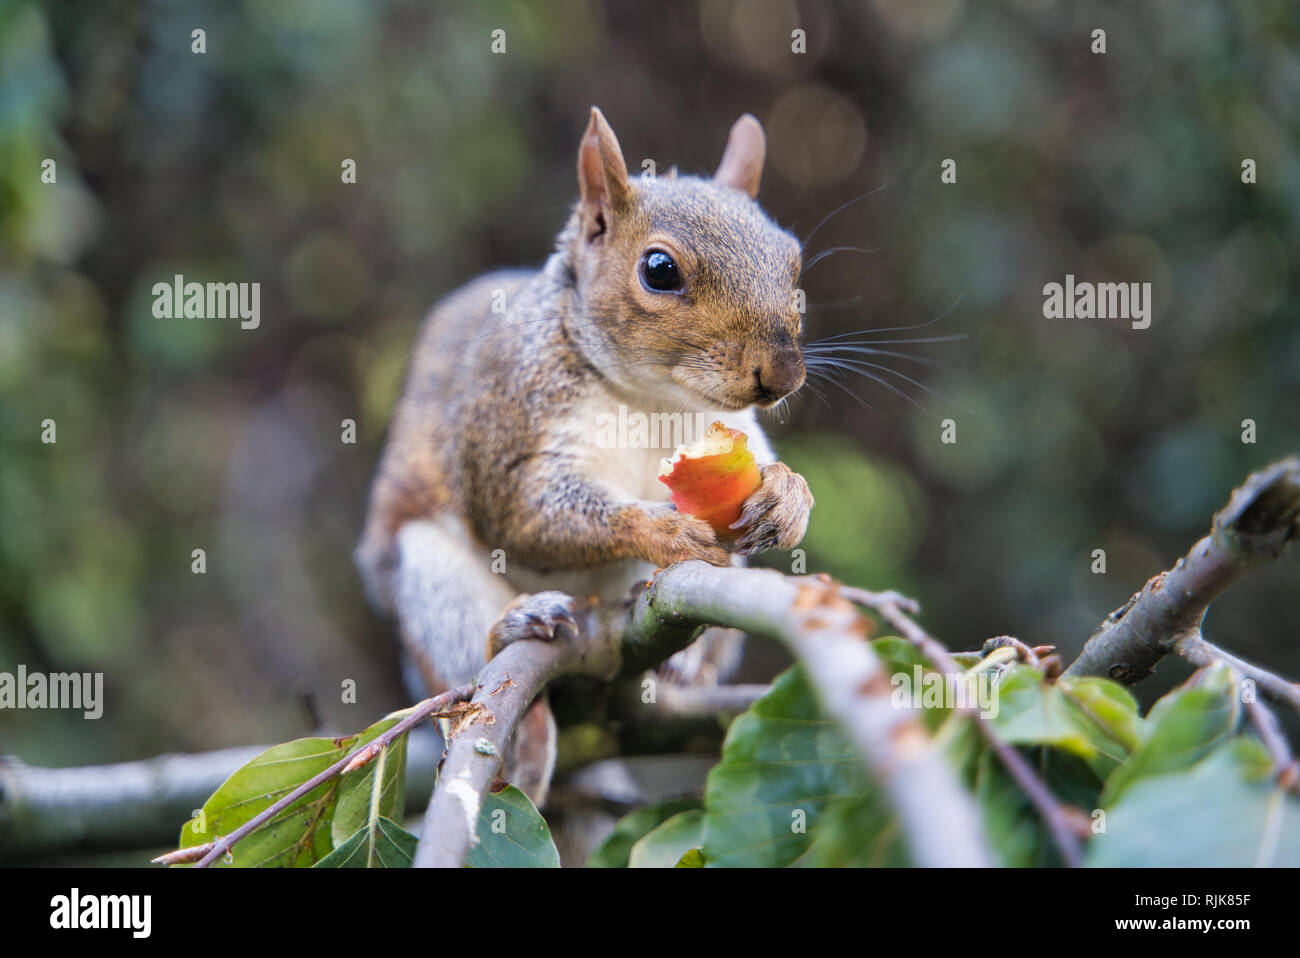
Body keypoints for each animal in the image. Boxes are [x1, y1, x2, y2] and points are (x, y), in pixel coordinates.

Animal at [356, 107, 814, 805]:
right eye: (659, 269)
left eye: (793, 263)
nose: (783, 374)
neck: (653, 398)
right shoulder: (506, 426)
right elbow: (522, 513)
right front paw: (661, 529)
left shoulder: (736, 430)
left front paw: (789, 495)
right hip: (427, 580)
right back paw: (519, 677)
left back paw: (684, 662)